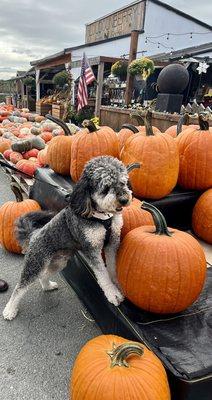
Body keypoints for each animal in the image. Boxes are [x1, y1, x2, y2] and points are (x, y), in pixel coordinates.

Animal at [3, 155, 136, 320]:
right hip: (35, 263)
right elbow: (103, 274)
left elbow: (112, 268)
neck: (101, 217)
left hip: (57, 262)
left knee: (43, 275)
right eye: (105, 188)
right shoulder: (91, 249)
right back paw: (10, 310)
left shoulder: (112, 243)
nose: (124, 200)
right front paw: (113, 294)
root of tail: (34, 234)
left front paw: (117, 285)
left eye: (123, 182)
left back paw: (48, 286)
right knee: (20, 286)